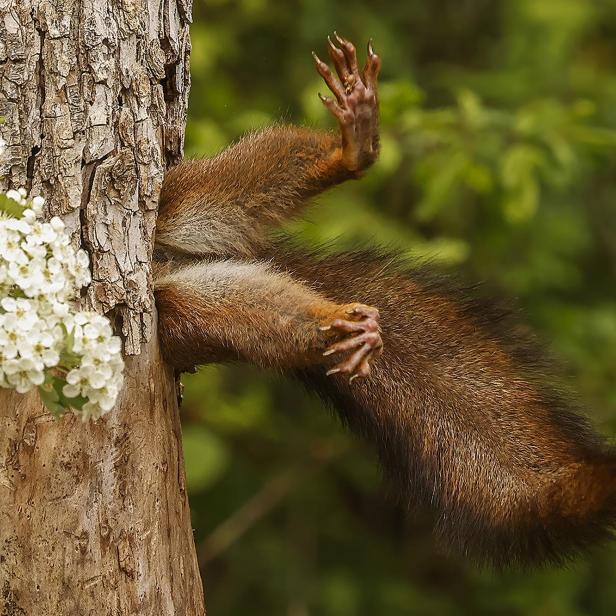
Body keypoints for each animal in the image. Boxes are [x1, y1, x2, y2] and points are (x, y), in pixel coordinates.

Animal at [150, 33, 616, 568]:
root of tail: (166, 263)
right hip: (183, 313)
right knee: (247, 313)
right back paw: (341, 325)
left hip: (178, 199)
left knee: (236, 182)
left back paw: (352, 149)